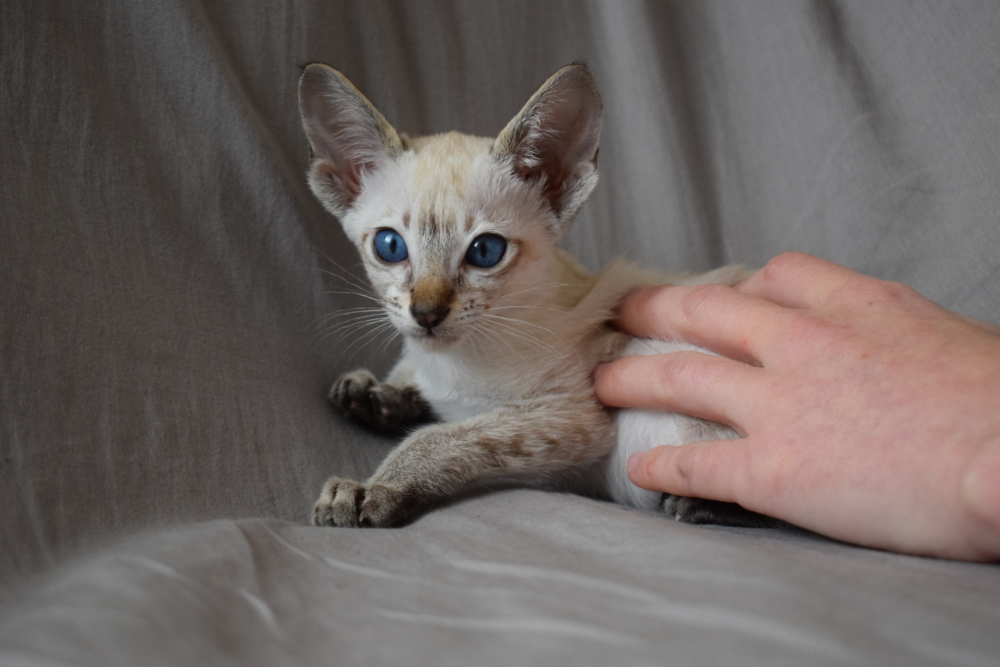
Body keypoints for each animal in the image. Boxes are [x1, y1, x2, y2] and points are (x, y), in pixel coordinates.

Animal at [296, 65, 772, 528]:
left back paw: (698, 503)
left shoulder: (567, 418)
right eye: (390, 246)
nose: (427, 313)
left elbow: (439, 436)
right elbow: (411, 379)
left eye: (485, 252)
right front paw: (376, 393)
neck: (451, 365)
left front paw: (373, 487)